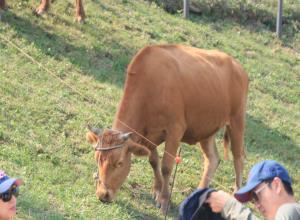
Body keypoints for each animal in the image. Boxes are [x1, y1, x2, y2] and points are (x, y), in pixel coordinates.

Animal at [86, 43, 248, 212]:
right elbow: (153, 161)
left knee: (238, 159)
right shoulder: (148, 136)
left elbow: (166, 166)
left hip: (237, 120)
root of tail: (236, 65)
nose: (102, 195)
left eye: (119, 163)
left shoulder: (175, 130)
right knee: (213, 159)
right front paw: (157, 190)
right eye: (97, 159)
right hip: (206, 129)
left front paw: (164, 200)